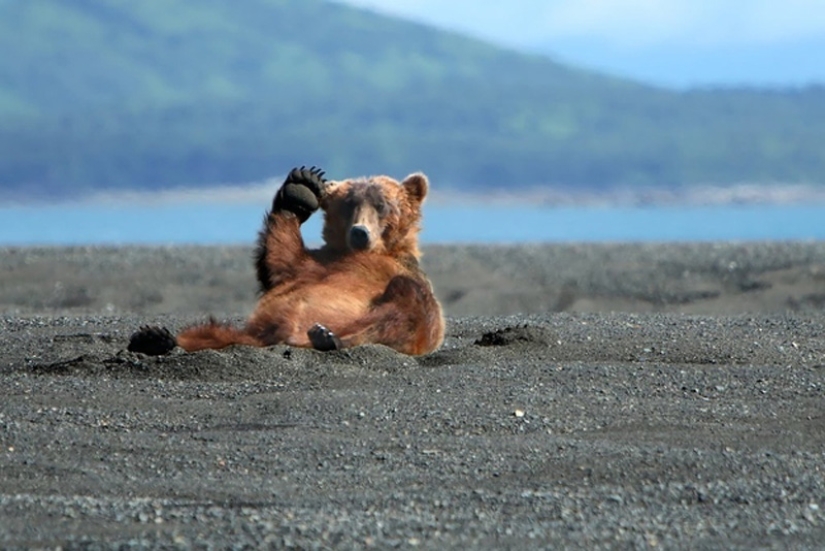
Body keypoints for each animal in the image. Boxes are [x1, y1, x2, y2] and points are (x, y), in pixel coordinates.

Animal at [130, 166, 448, 358]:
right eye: (349, 204)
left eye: (382, 205)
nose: (360, 232)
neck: (365, 254)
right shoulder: (313, 266)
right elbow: (281, 259)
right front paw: (302, 187)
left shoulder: (399, 274)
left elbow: (418, 311)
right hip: (246, 332)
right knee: (209, 333)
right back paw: (155, 338)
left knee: (404, 307)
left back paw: (329, 337)